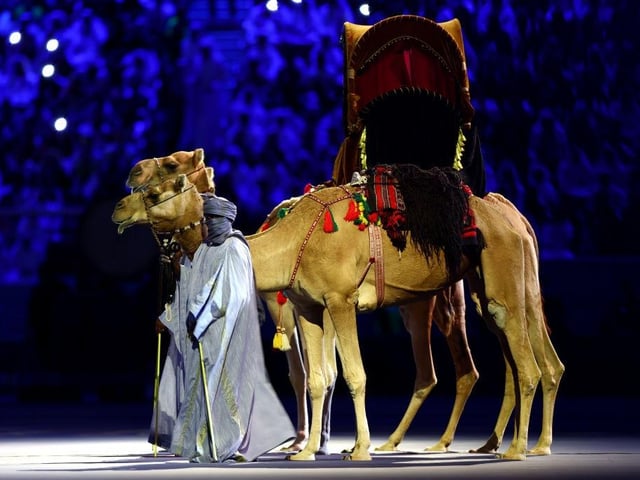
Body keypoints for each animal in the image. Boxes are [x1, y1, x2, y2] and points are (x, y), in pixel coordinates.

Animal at [112, 170, 560, 461]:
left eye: (155, 192)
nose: (118, 206)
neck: (291, 241)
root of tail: (513, 216)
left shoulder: (341, 301)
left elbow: (354, 376)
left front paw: (358, 450)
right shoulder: (310, 308)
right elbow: (317, 379)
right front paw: (307, 451)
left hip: (500, 279)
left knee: (523, 365)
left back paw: (513, 450)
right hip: (501, 284)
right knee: (539, 360)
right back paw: (529, 444)